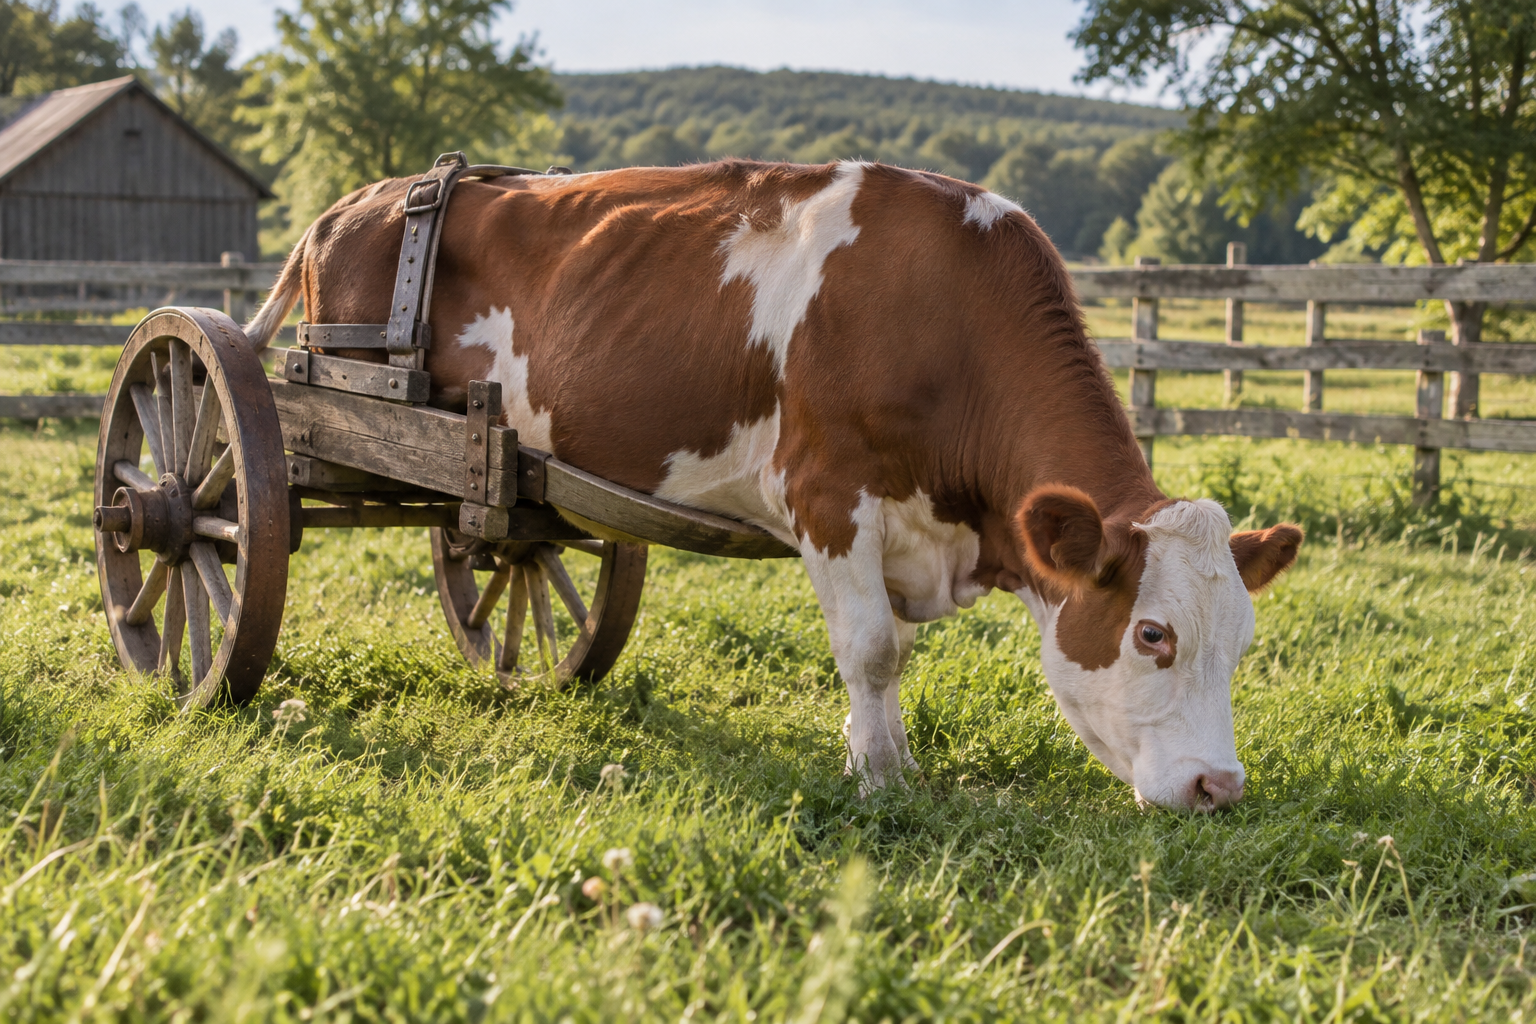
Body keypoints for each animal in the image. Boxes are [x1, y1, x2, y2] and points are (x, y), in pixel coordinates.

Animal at [245, 159, 1302, 811]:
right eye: (1152, 634)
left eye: (1245, 641)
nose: (1219, 788)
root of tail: (351, 205)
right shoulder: (828, 495)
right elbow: (871, 649)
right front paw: (878, 780)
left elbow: (894, 655)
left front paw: (884, 756)